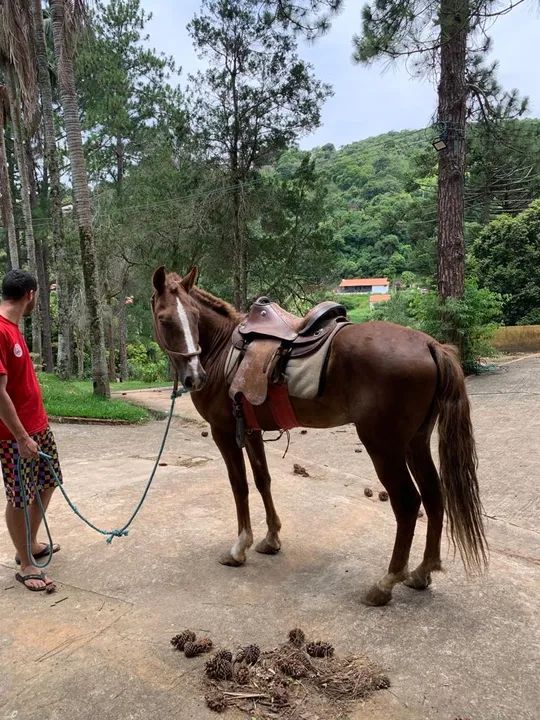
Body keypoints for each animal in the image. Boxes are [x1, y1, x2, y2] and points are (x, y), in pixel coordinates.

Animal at [151, 266, 487, 606]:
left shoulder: (224, 432)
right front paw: (271, 538)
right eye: (166, 319)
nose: (195, 377)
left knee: (407, 503)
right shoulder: (251, 431)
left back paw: (385, 583)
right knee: (433, 495)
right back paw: (421, 572)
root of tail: (431, 345)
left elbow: (239, 485)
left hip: (384, 447)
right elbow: (263, 480)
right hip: (415, 443)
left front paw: (238, 549)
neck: (222, 353)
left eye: (193, 317)